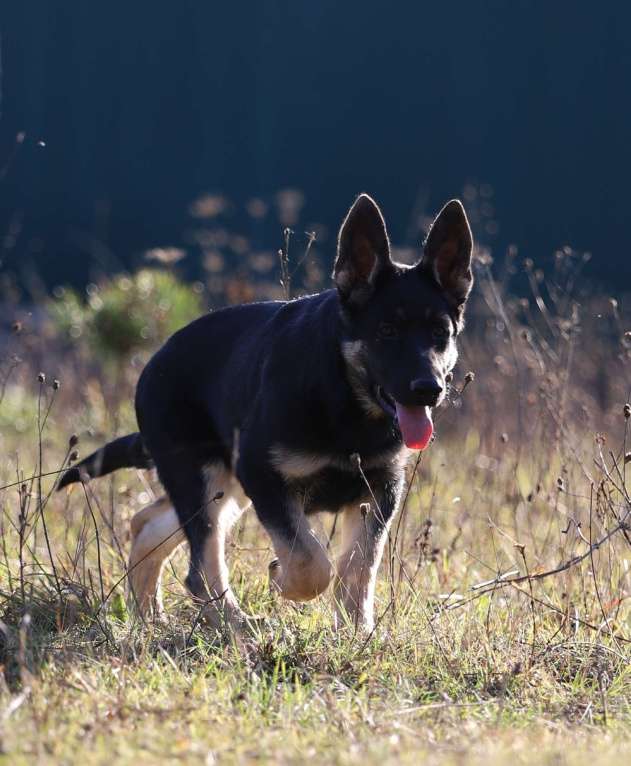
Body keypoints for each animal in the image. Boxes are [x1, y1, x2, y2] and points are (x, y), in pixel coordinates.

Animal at [59, 195, 474, 632]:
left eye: (440, 333)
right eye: (387, 331)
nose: (429, 389)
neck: (345, 400)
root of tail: (153, 362)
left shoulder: (379, 489)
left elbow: (359, 567)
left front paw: (357, 632)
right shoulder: (265, 477)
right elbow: (311, 563)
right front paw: (281, 578)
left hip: (225, 487)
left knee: (148, 523)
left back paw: (149, 616)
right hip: (206, 479)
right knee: (200, 568)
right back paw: (237, 624)